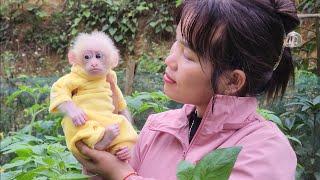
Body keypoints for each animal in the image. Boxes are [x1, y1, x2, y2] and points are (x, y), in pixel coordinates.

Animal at [49, 31, 137, 160]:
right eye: (87, 57)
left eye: (98, 56)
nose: (94, 63)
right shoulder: (74, 77)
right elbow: (60, 89)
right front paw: (76, 112)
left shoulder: (113, 79)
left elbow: (121, 107)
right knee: (75, 125)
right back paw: (102, 140)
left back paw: (124, 151)